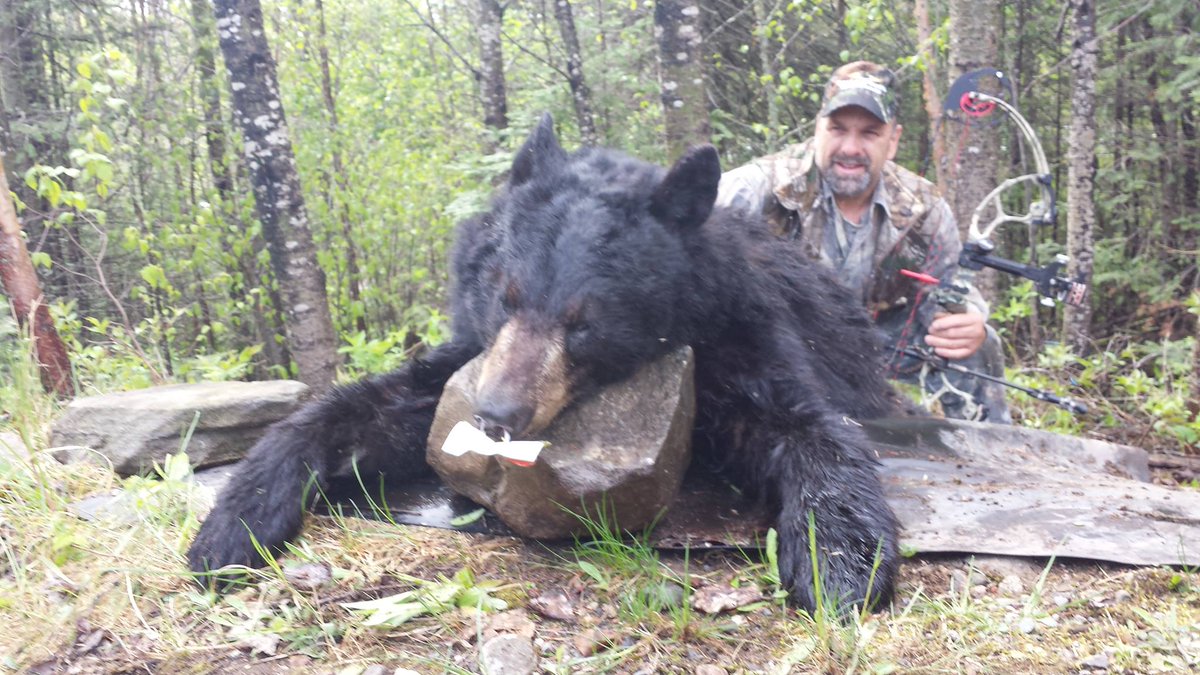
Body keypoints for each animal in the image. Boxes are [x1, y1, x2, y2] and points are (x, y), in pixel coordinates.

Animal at [187, 114, 901, 612]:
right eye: (504, 295)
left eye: (583, 321)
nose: (497, 413)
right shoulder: (470, 356)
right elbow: (381, 406)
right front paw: (233, 522)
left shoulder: (741, 339)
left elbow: (810, 427)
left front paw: (841, 564)